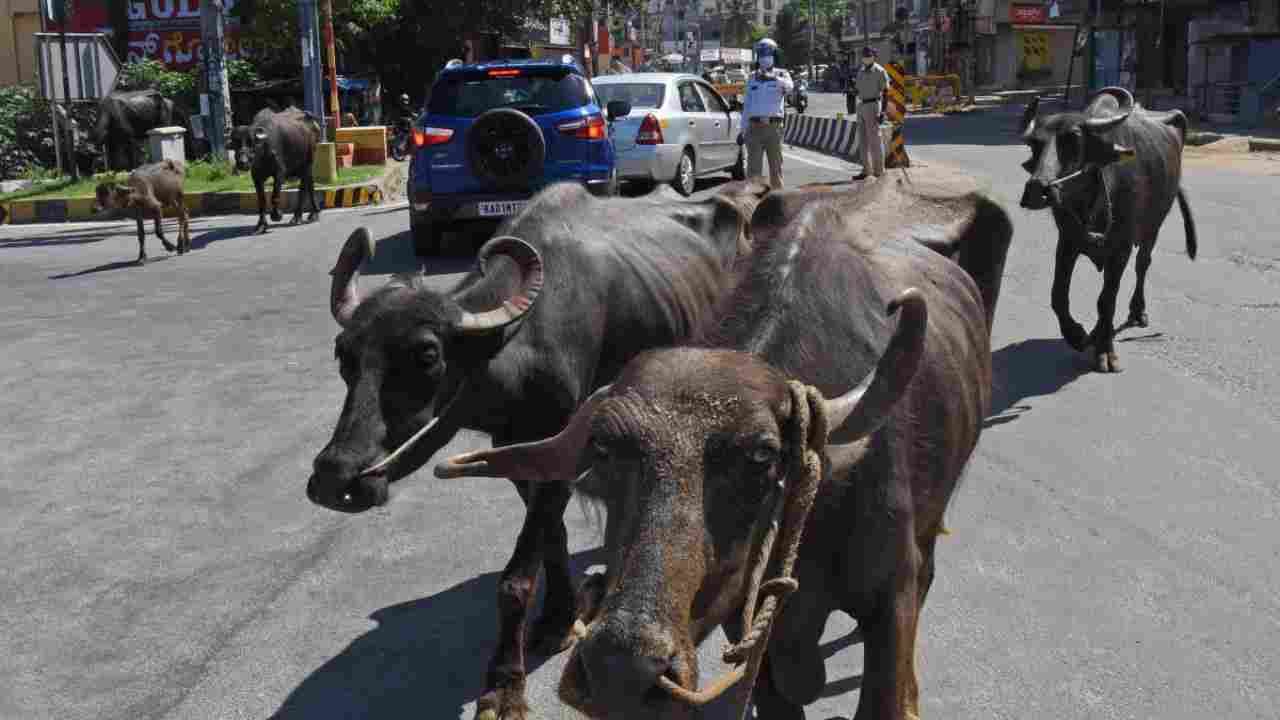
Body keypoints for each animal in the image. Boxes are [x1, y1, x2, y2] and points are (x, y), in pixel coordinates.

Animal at [307, 178, 768, 717]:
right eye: (344, 354)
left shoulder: (563, 457)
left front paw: (505, 684)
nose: (335, 477)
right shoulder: (518, 456)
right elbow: (553, 539)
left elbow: (516, 579)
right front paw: (560, 617)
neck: (517, 351)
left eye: (427, 353)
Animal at [1013, 85, 1192, 368]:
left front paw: (1105, 350)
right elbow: (1058, 295)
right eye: (1034, 144)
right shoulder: (1067, 241)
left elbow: (1107, 299)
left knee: (1143, 265)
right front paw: (1076, 335)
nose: (1036, 190)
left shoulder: (1121, 248)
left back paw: (1137, 312)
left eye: (1074, 140)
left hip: (1154, 225)